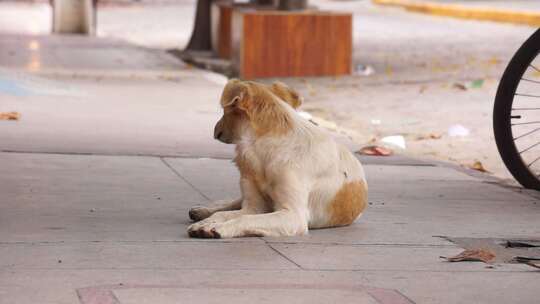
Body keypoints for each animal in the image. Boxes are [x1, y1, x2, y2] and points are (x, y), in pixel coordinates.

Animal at [186, 79, 368, 239]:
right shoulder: (254, 206)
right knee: (232, 203)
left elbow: (244, 218)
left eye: (225, 111)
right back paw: (203, 210)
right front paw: (208, 221)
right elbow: (225, 214)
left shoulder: (293, 215)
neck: (264, 153)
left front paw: (219, 227)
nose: (215, 129)